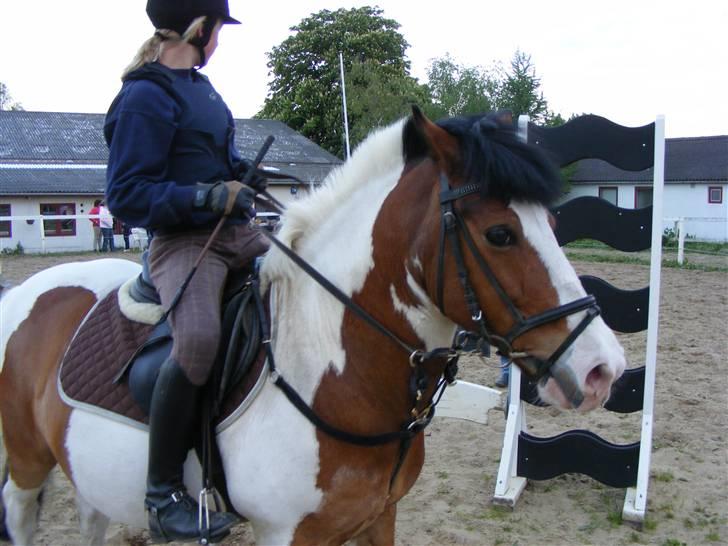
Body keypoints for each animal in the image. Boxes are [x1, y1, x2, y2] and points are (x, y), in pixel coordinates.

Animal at [0, 107, 624, 544]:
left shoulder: (378, 519)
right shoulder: (289, 535)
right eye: (500, 233)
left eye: (553, 224)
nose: (604, 369)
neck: (332, 369)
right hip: (27, 464)